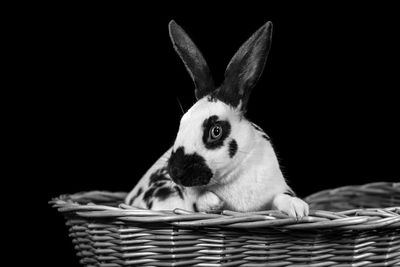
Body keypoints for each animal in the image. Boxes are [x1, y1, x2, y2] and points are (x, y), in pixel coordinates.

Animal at [125, 19, 310, 219]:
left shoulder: (277, 188)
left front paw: (299, 209)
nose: (175, 172)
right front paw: (214, 202)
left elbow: (281, 196)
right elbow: (197, 202)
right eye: (182, 123)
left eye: (216, 131)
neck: (231, 177)